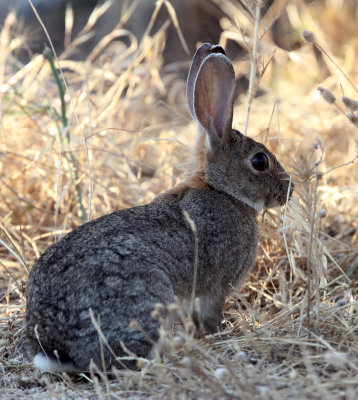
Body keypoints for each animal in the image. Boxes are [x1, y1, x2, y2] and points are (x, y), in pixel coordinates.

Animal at [25, 42, 294, 374]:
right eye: (260, 161)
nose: (289, 190)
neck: (221, 190)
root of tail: (54, 346)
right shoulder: (215, 289)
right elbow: (211, 316)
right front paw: (221, 332)